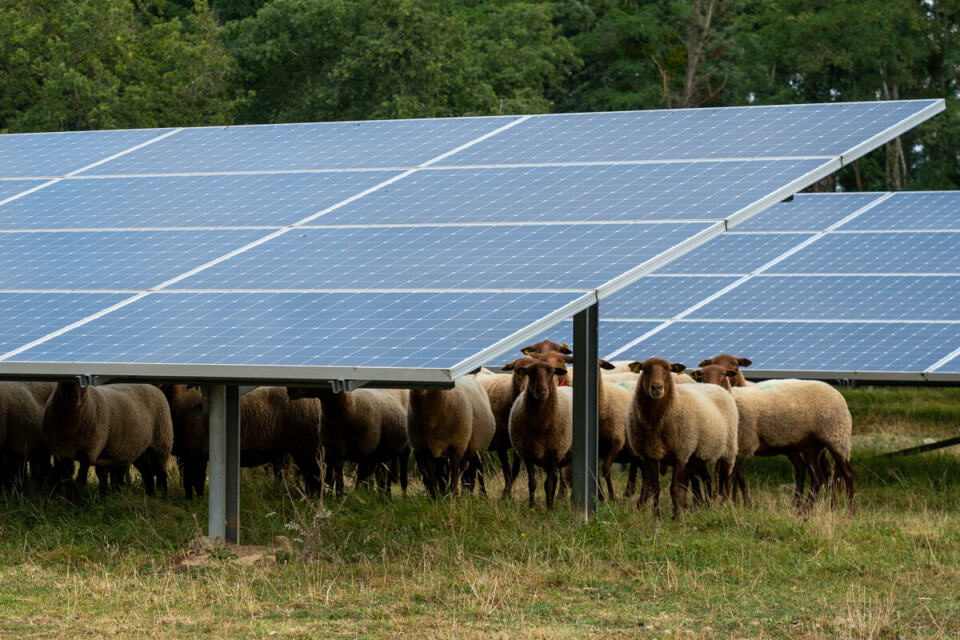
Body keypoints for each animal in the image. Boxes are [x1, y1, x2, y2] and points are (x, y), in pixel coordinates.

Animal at [43, 382, 173, 498]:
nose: (72, 396)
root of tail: (153, 387)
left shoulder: (89, 451)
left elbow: (80, 482)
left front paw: (75, 506)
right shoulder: (62, 452)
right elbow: (68, 482)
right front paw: (68, 502)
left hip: (161, 443)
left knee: (161, 474)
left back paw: (163, 498)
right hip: (140, 450)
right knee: (148, 474)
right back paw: (150, 497)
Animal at [506, 352, 572, 508]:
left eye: (552, 372)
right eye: (530, 372)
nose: (541, 391)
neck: (540, 424)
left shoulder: (555, 452)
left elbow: (549, 484)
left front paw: (548, 510)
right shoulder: (527, 453)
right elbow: (532, 483)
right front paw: (531, 507)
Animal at [628, 358, 740, 516]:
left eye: (668, 370)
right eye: (645, 369)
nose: (657, 387)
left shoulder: (681, 454)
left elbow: (675, 489)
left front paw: (677, 516)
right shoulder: (651, 455)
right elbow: (656, 488)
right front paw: (657, 517)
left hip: (728, 449)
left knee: (726, 478)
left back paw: (725, 505)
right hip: (698, 455)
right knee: (707, 479)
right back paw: (707, 506)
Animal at [688, 364, 852, 516]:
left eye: (724, 374)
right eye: (702, 375)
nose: (712, 388)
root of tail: (837, 393)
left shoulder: (744, 444)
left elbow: (732, 477)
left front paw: (731, 504)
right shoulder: (731, 450)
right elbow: (726, 476)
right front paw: (730, 504)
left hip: (836, 437)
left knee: (845, 473)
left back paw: (848, 513)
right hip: (811, 446)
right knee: (816, 477)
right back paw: (803, 511)